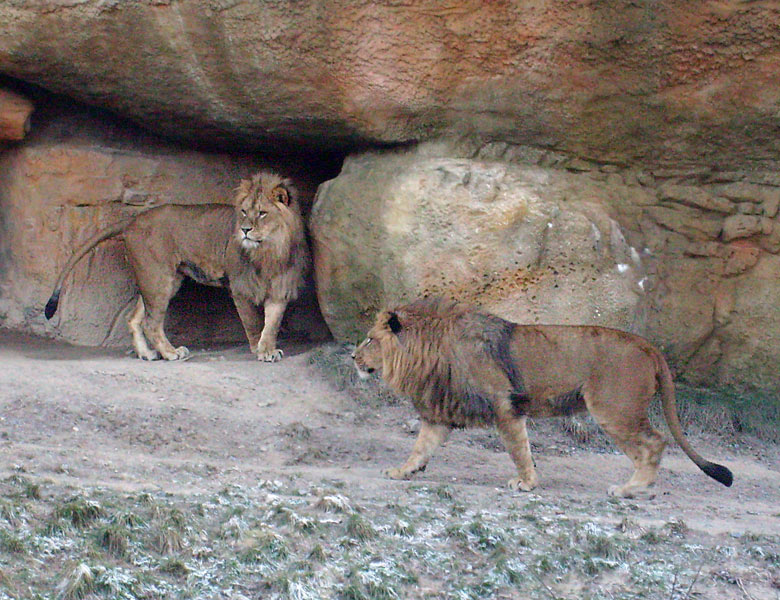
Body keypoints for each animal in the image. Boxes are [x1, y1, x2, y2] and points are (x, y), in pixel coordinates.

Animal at [44, 171, 310, 364]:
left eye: (262, 213)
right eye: (244, 212)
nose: (244, 230)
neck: (270, 251)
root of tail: (133, 220)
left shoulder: (281, 287)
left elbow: (272, 324)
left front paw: (269, 350)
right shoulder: (240, 286)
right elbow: (254, 322)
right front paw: (257, 349)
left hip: (162, 280)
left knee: (134, 319)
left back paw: (148, 354)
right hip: (158, 278)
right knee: (151, 322)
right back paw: (171, 353)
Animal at [350, 296, 736, 496]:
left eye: (369, 339)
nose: (352, 357)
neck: (430, 352)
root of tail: (647, 345)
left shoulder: (504, 405)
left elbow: (519, 449)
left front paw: (526, 482)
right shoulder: (441, 411)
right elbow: (420, 447)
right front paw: (402, 471)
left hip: (614, 409)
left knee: (655, 443)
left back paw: (630, 489)